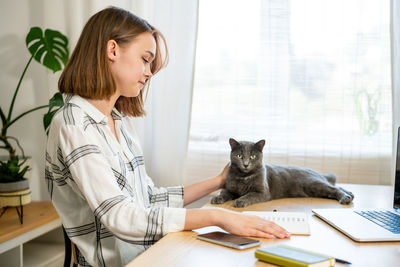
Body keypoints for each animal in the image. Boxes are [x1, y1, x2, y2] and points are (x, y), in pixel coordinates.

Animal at [211, 139, 354, 208]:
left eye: (252, 156)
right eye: (239, 156)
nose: (246, 164)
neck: (244, 176)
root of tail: (315, 172)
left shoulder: (262, 192)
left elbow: (249, 195)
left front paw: (240, 201)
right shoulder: (230, 188)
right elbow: (224, 192)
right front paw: (217, 198)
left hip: (313, 184)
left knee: (334, 188)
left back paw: (346, 198)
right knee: (334, 187)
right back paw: (350, 194)